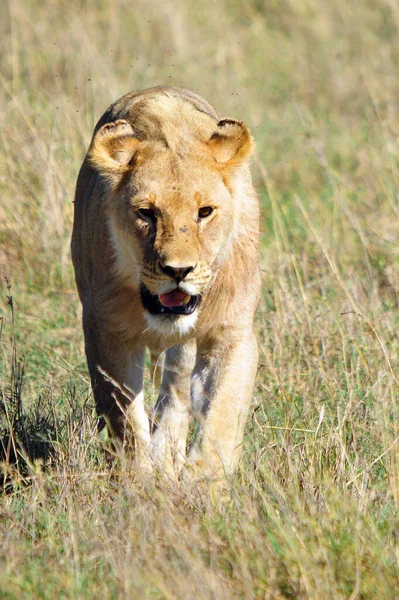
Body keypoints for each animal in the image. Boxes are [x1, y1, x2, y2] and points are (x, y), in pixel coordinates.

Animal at [71, 86, 262, 478]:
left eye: (205, 212)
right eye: (146, 213)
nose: (178, 271)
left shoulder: (232, 333)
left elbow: (221, 418)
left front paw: (202, 483)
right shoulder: (107, 331)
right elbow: (125, 423)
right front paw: (140, 481)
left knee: (177, 389)